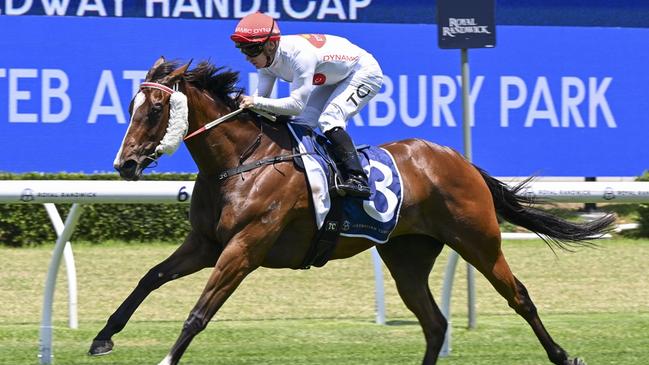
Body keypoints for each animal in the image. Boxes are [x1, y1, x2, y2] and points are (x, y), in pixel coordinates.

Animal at [92, 57, 612, 364]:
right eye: (131, 105)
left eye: (154, 109)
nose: (125, 164)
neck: (240, 162)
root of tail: (457, 158)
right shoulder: (205, 243)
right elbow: (150, 278)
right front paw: (103, 337)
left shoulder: (245, 247)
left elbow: (199, 312)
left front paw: (164, 358)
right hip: (406, 256)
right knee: (435, 322)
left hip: (478, 240)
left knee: (519, 296)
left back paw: (563, 354)